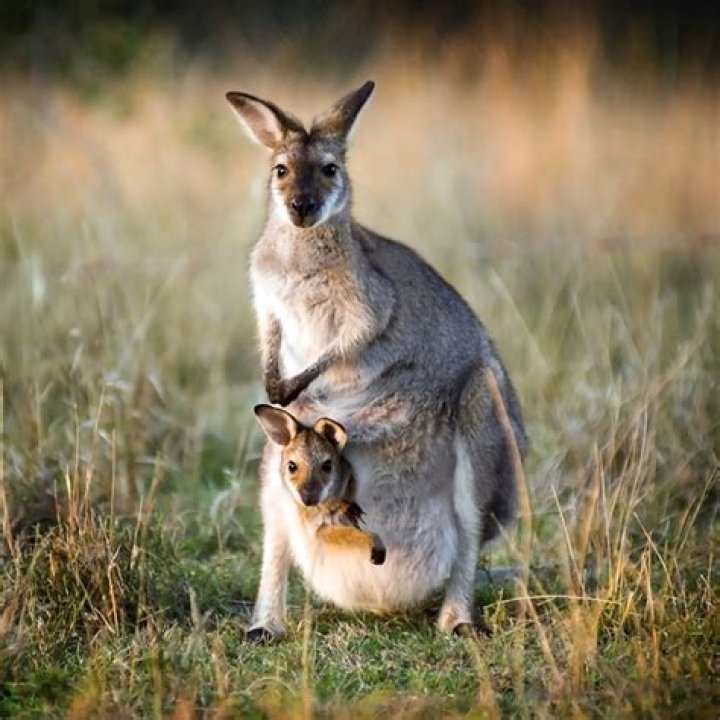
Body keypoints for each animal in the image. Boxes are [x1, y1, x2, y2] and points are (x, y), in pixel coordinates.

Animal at [226, 81, 527, 641]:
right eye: (281, 169)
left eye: (329, 168)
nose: (301, 207)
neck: (302, 247)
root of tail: (381, 599)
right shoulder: (267, 300)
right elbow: (270, 338)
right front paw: (277, 383)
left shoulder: (370, 302)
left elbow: (353, 339)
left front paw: (295, 382)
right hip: (277, 458)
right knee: (277, 530)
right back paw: (265, 625)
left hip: (484, 413)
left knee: (470, 528)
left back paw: (457, 620)